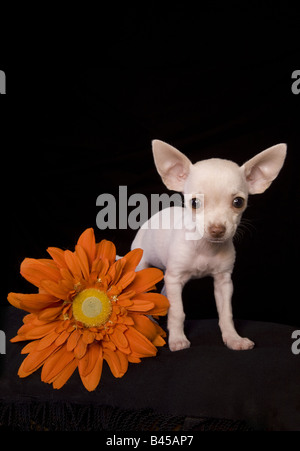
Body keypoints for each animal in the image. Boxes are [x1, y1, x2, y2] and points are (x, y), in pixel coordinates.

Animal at [131, 139, 286, 352]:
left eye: (238, 202)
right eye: (195, 203)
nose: (217, 229)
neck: (205, 248)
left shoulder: (223, 282)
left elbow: (226, 313)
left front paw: (233, 338)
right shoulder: (175, 277)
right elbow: (178, 312)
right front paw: (177, 339)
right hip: (141, 266)